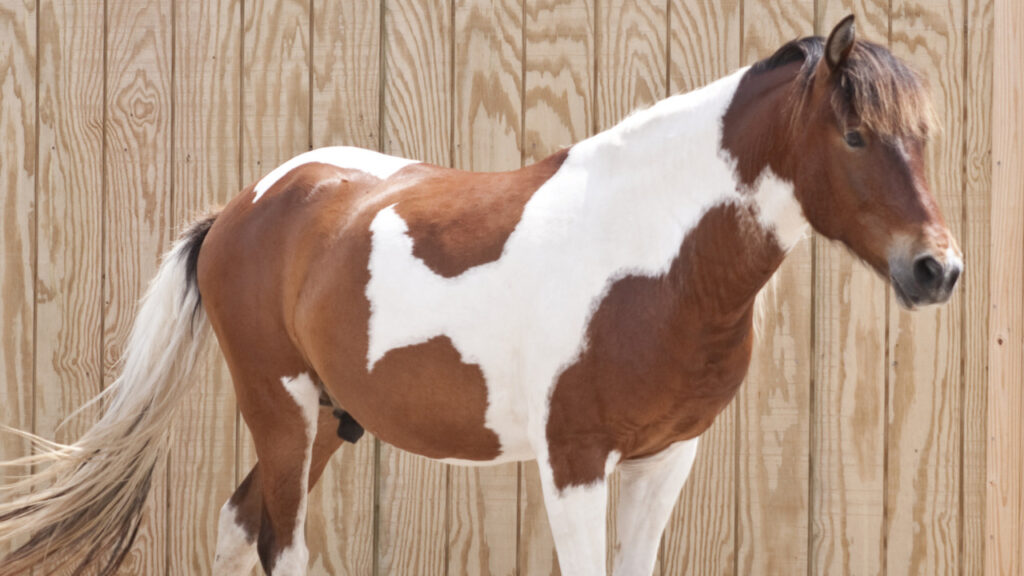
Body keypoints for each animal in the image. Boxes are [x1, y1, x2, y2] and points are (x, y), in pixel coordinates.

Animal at [0, 15, 961, 576]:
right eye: (855, 134)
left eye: (924, 136)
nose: (938, 270)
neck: (656, 260)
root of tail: (244, 206)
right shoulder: (575, 463)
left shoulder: (665, 458)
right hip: (281, 410)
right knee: (280, 542)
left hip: (329, 419)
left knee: (239, 526)